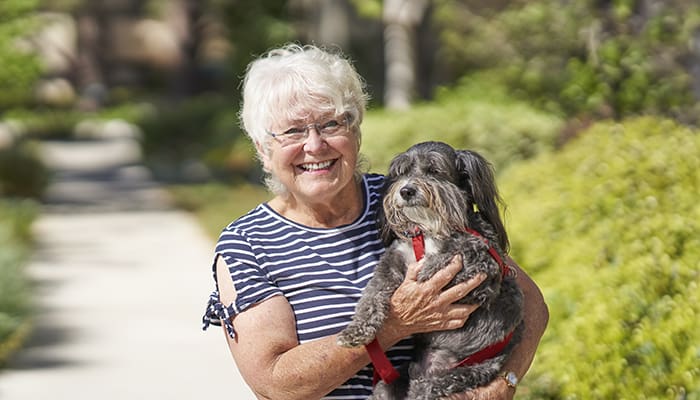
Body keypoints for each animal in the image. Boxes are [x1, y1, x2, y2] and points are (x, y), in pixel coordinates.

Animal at [340, 141, 524, 400]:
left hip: (458, 376)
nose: (406, 190)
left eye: (434, 171)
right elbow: (371, 295)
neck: (429, 229)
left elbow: (447, 259)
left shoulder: (483, 266)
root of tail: (424, 370)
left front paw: (424, 277)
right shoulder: (393, 261)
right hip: (387, 385)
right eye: (402, 172)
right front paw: (356, 331)